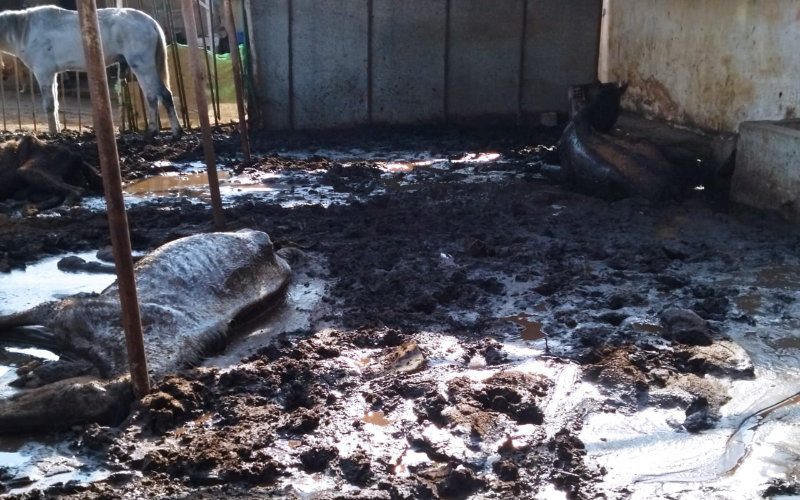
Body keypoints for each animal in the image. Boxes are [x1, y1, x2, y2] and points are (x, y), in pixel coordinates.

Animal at [0, 6, 183, 141]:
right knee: (151, 97)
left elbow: (49, 105)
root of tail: (150, 22)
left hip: (143, 66)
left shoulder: (44, 72)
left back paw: (176, 133)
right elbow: (55, 104)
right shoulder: (52, 74)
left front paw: (53, 134)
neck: (25, 31)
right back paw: (151, 132)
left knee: (164, 95)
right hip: (140, 68)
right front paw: (57, 130)